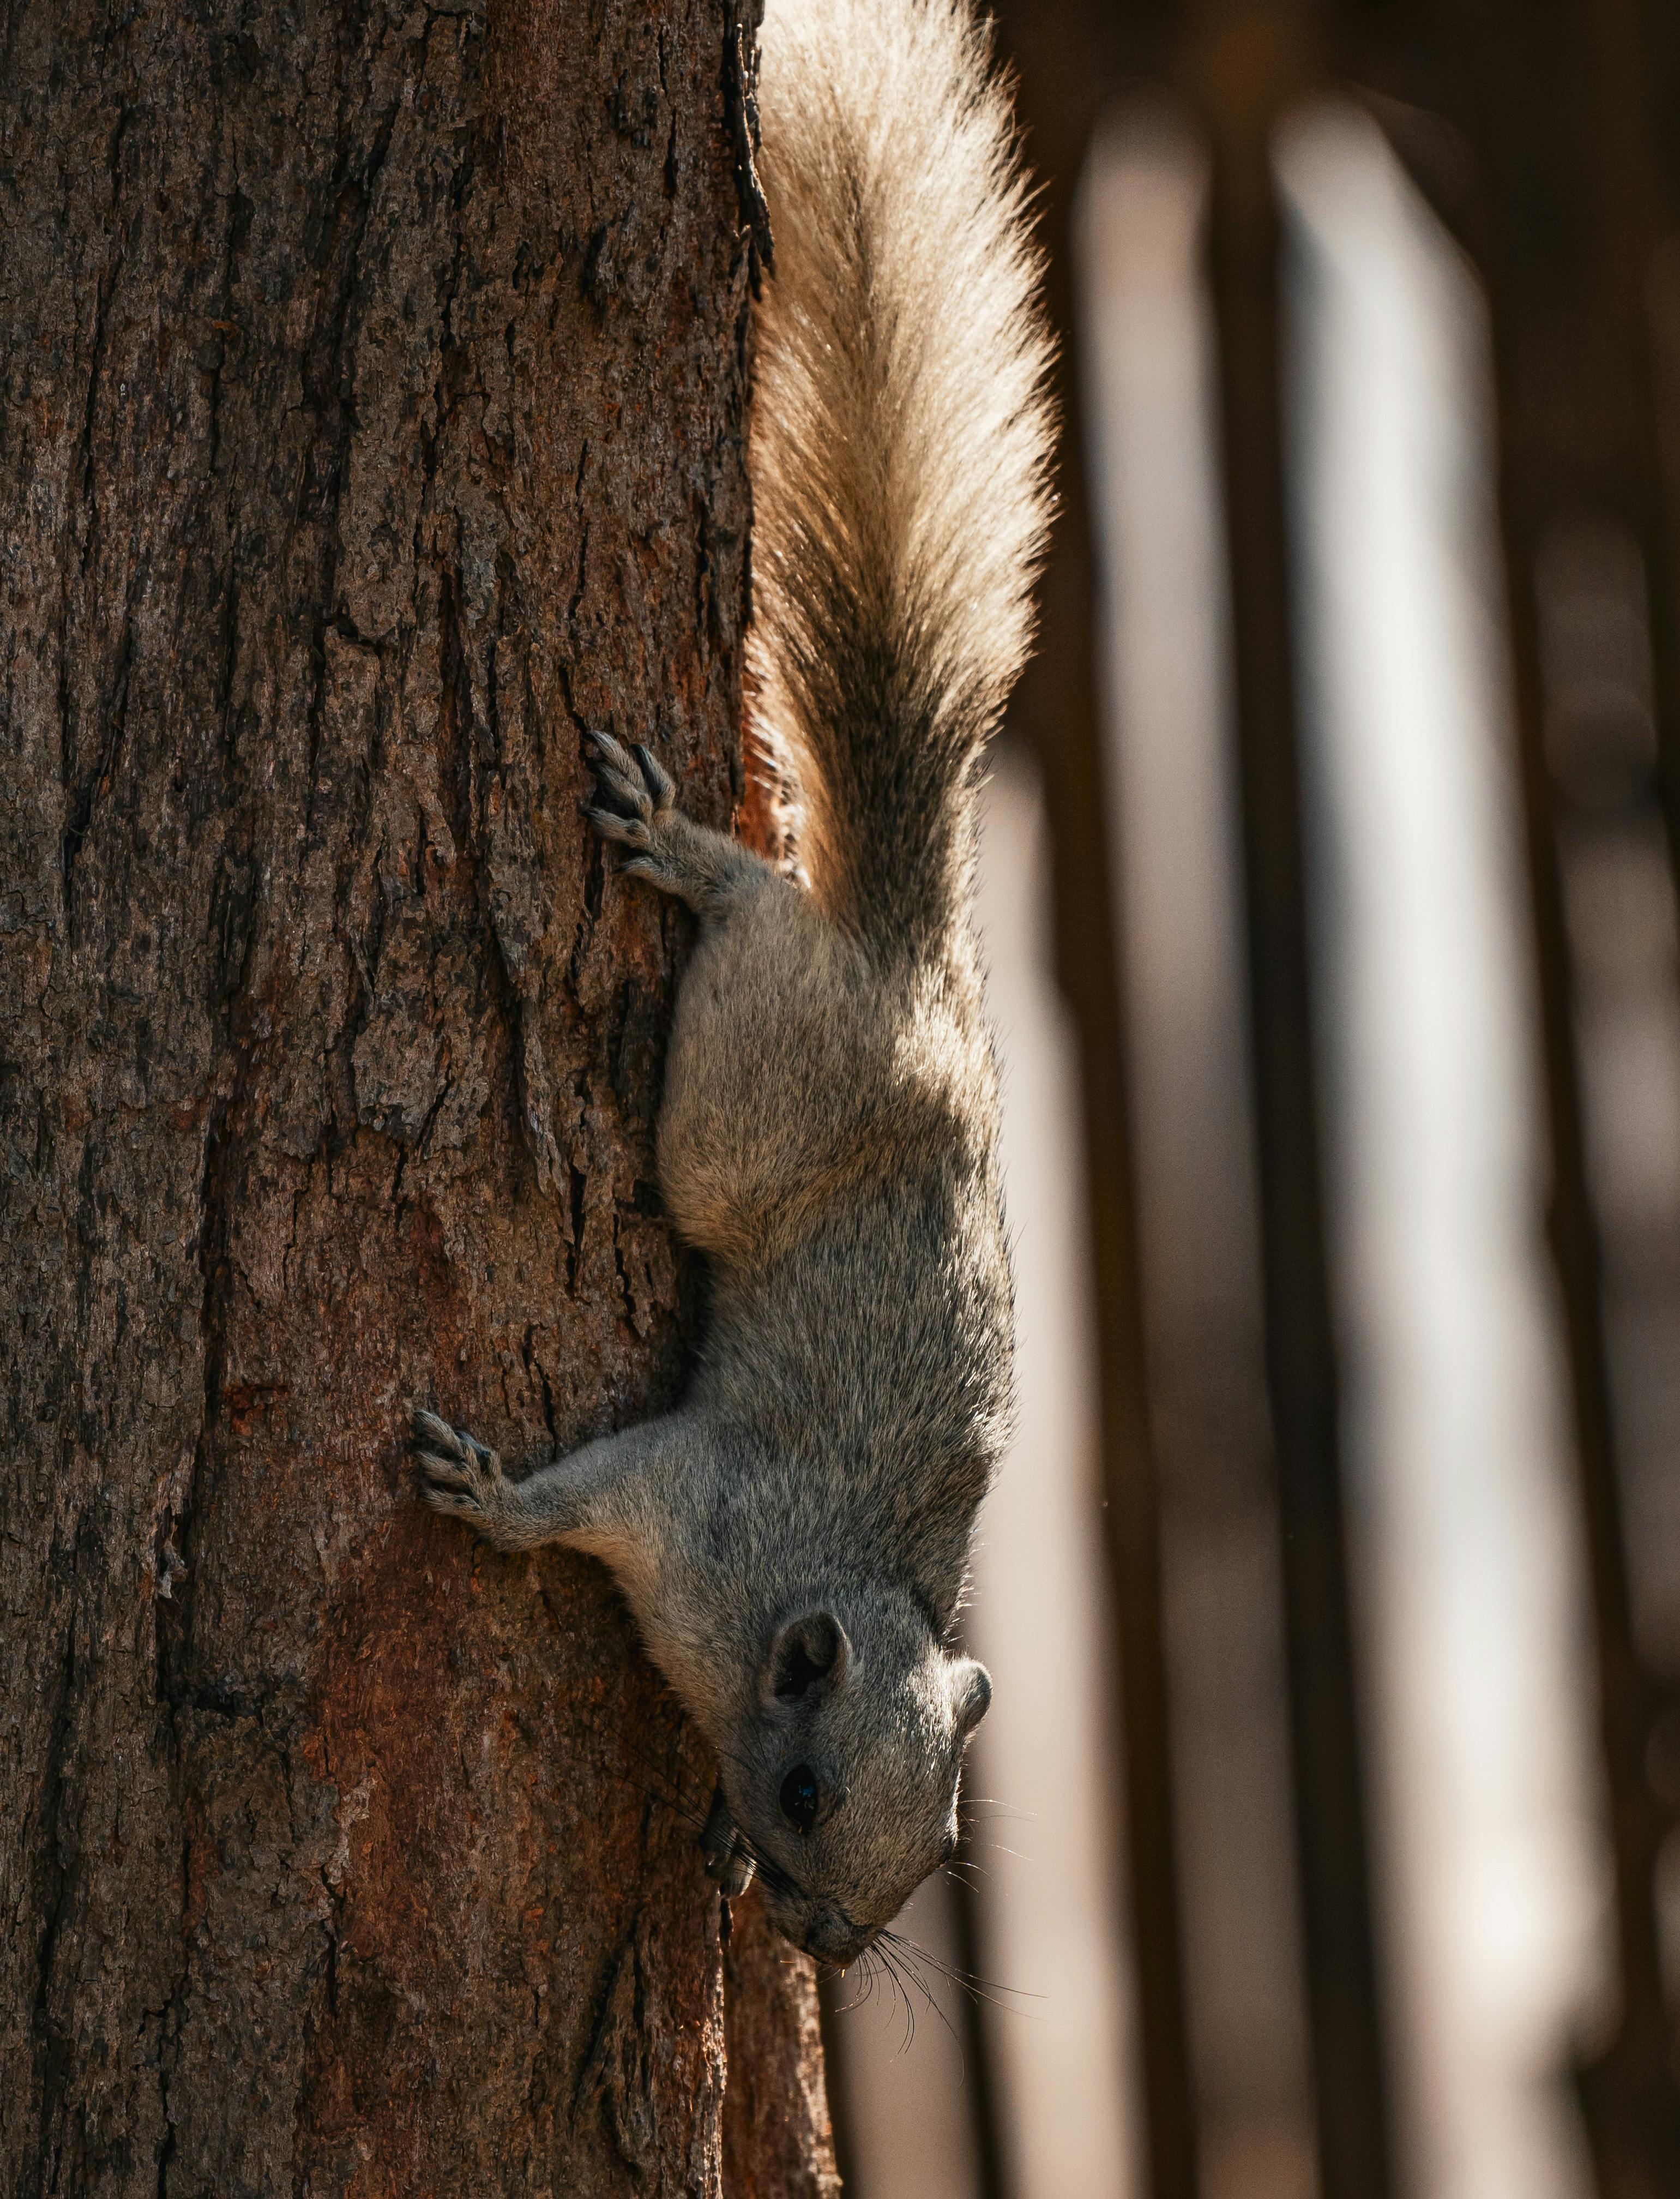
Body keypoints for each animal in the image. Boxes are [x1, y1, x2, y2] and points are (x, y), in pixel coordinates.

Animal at [413, 0, 1052, 1965]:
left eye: (944, 1839)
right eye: (808, 1791)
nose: (824, 1944)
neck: (818, 1589)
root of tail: (913, 965)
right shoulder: (690, 1506)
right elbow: (584, 1496)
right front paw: (493, 1503)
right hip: (746, 1099)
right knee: (757, 920)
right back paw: (698, 854)